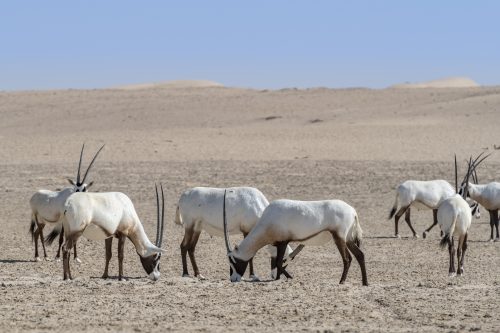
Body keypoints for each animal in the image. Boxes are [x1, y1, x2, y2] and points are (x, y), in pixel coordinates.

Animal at [223, 191, 368, 284]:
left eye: (233, 261)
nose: (233, 279)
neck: (268, 220)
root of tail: (353, 211)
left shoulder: (282, 242)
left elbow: (279, 262)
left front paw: (287, 277)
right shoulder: (279, 243)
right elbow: (278, 262)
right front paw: (278, 278)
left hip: (339, 237)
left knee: (347, 259)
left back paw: (342, 281)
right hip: (348, 240)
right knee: (359, 255)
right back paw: (365, 282)